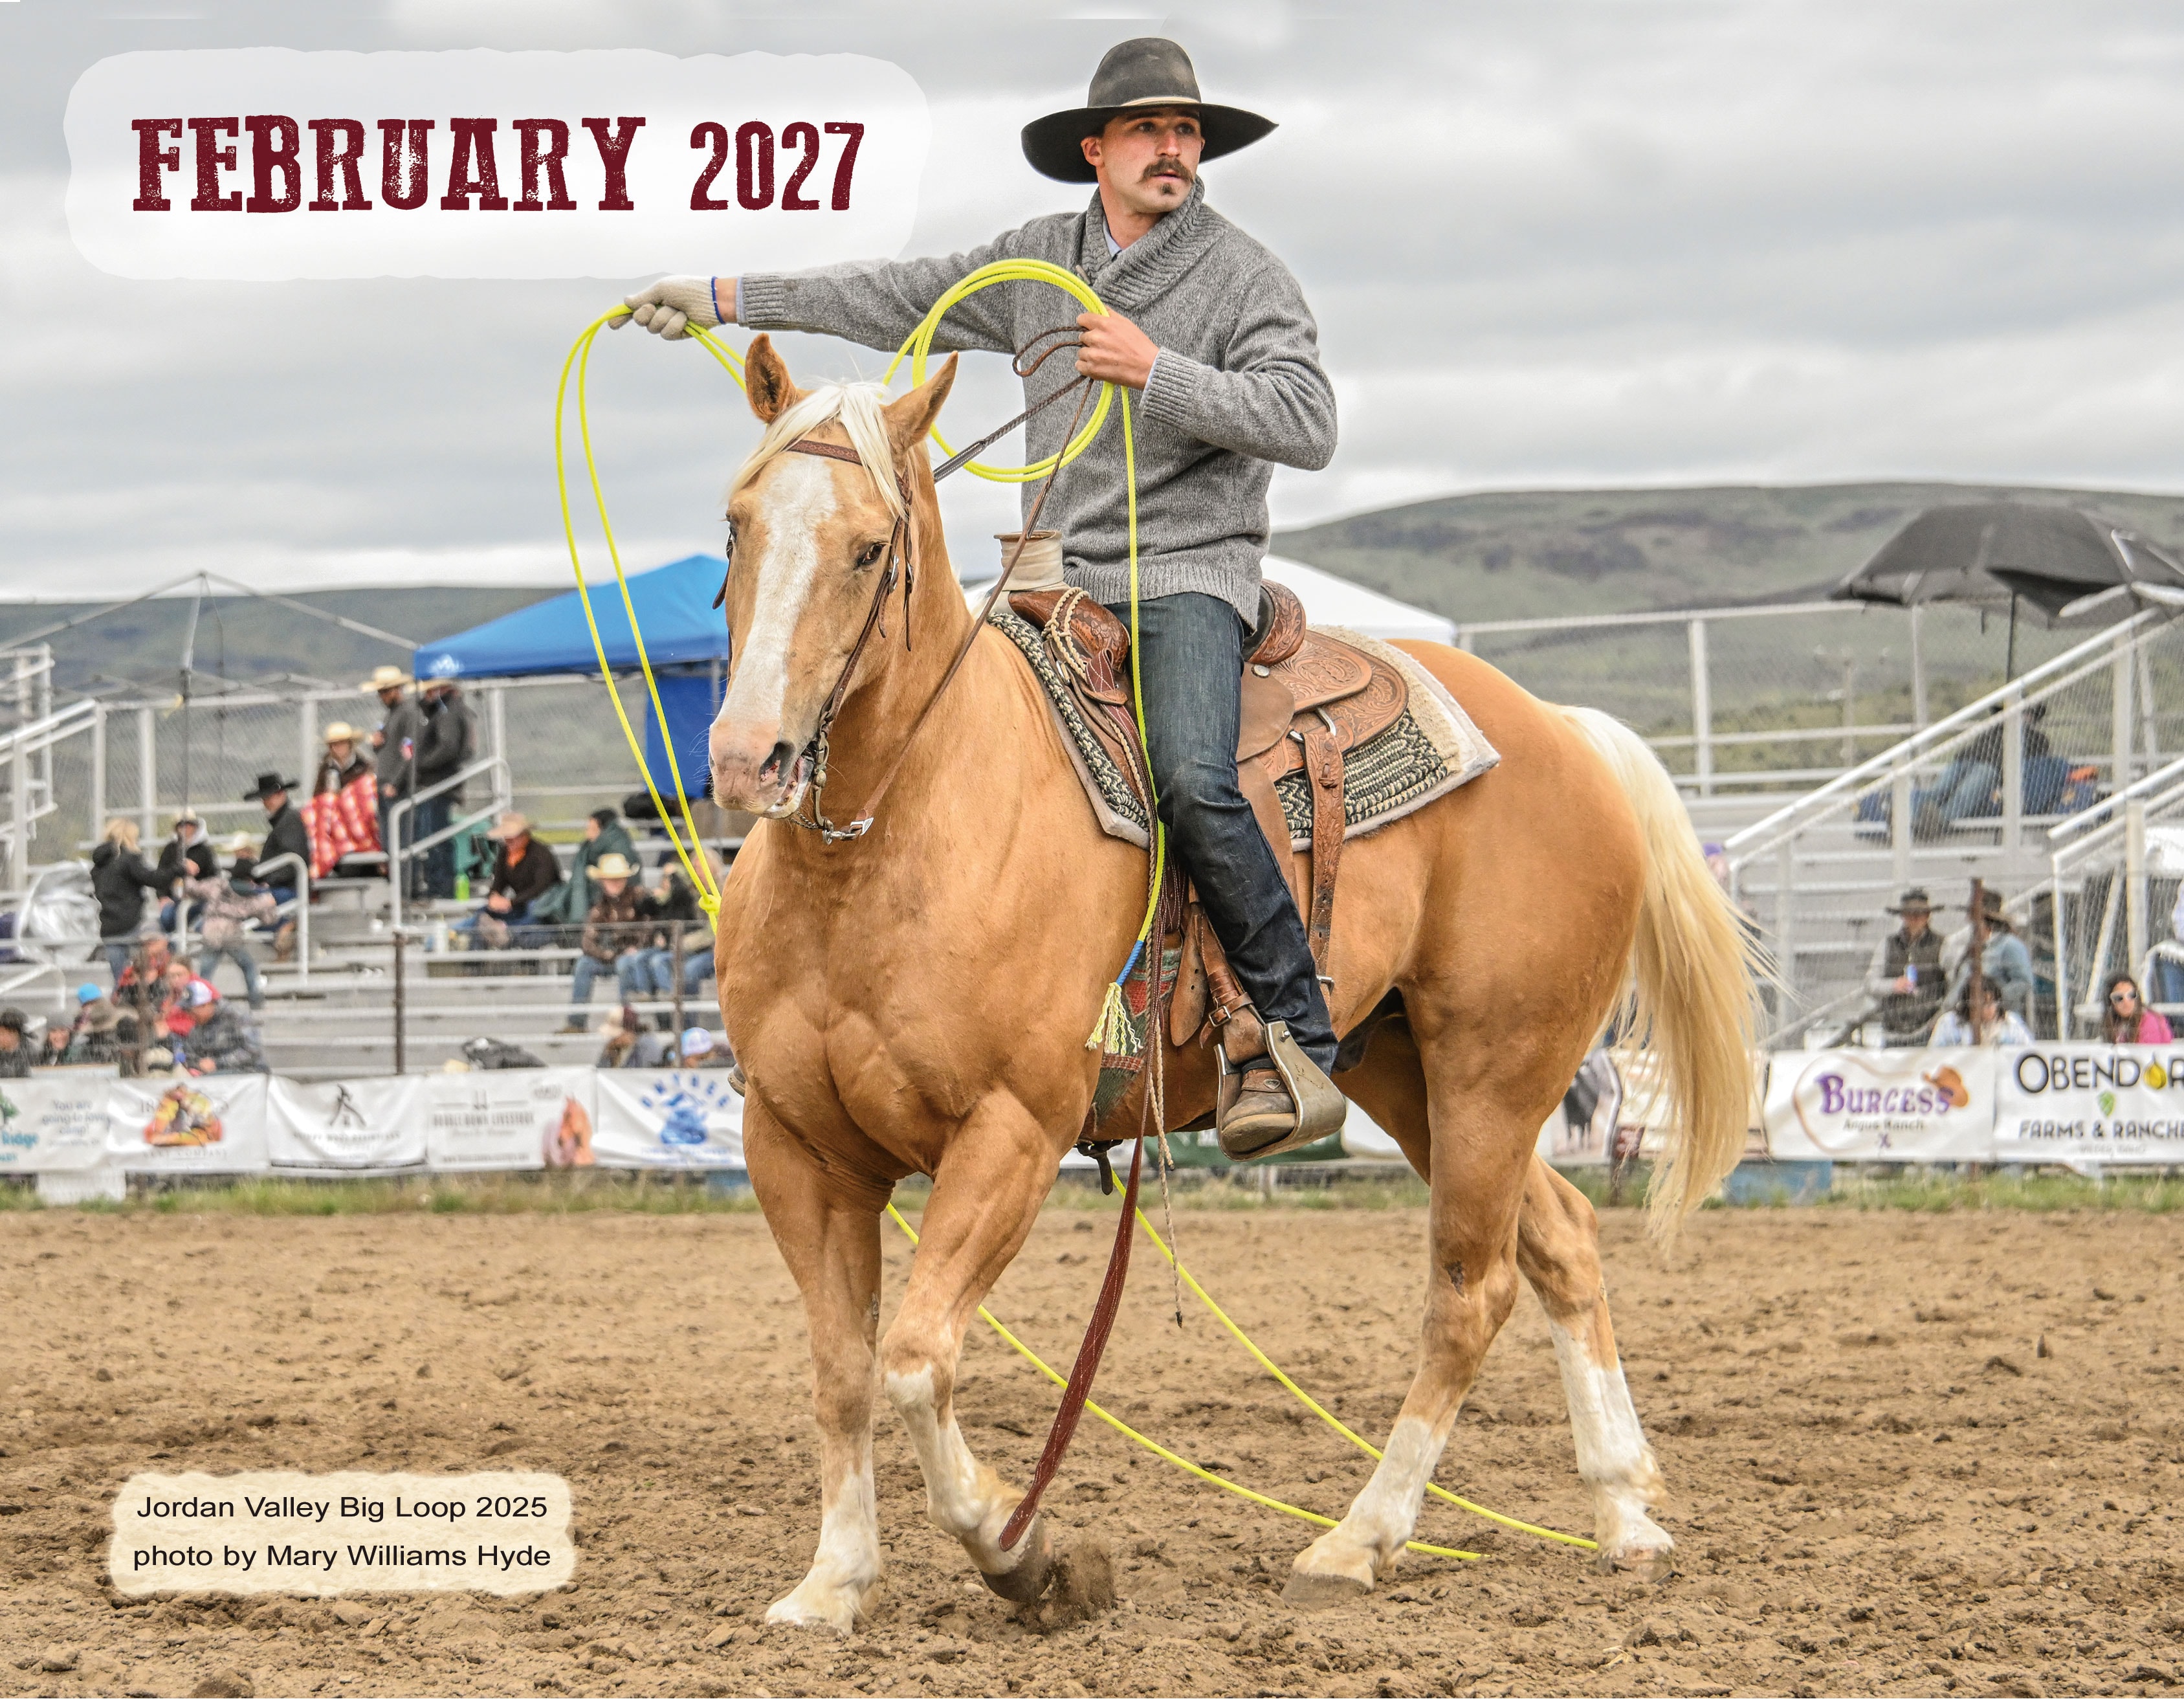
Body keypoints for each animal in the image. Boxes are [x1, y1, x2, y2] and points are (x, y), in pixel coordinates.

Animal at [705, 335, 1762, 1632]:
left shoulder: (1009, 1131)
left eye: (868, 548)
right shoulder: (795, 1146)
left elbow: (914, 1359)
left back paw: (1358, 1540)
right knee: (1559, 1238)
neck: (891, 836)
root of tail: (1561, 730)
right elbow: (841, 1369)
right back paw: (1622, 1508)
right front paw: (832, 1581)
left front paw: (1023, 1551)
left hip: (1496, 1066)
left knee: (1471, 1291)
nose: (747, 757)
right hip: (1401, 1066)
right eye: (737, 525)